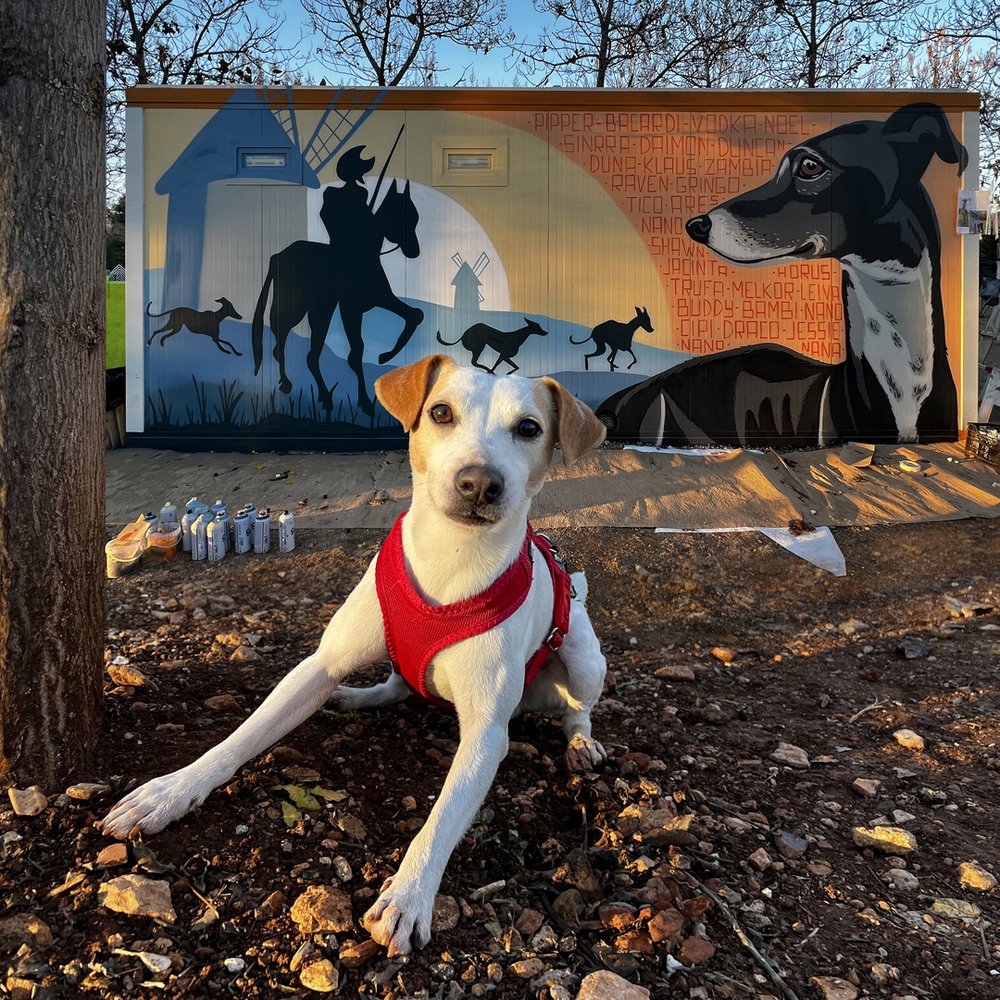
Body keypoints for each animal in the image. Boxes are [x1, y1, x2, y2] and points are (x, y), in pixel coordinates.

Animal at [99, 356, 608, 956]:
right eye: (441, 413)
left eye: (529, 428)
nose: (479, 482)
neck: (451, 559)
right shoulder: (316, 665)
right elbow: (241, 738)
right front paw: (170, 791)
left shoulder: (486, 734)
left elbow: (442, 817)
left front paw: (409, 894)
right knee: (396, 683)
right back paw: (355, 697)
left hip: (582, 656)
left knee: (578, 706)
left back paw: (581, 744)